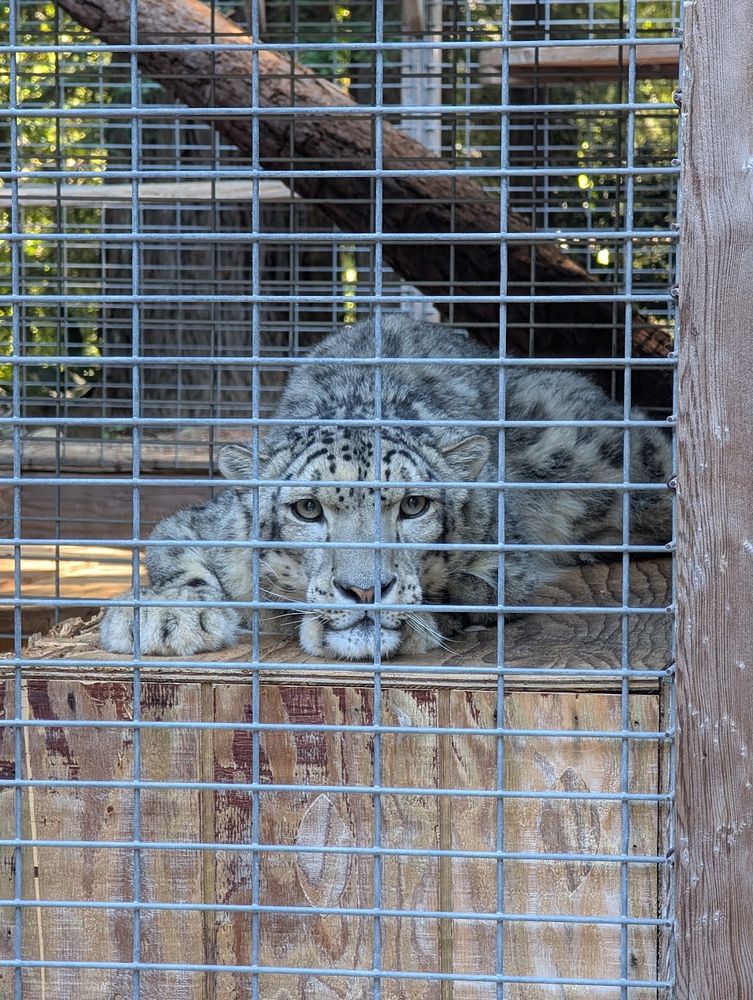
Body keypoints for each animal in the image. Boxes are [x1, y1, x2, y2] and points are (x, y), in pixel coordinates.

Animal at [99, 315, 672, 661]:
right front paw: (167, 615)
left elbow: (488, 586)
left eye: (413, 506)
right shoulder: (202, 527)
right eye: (308, 510)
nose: (365, 591)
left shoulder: (503, 547)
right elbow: (173, 553)